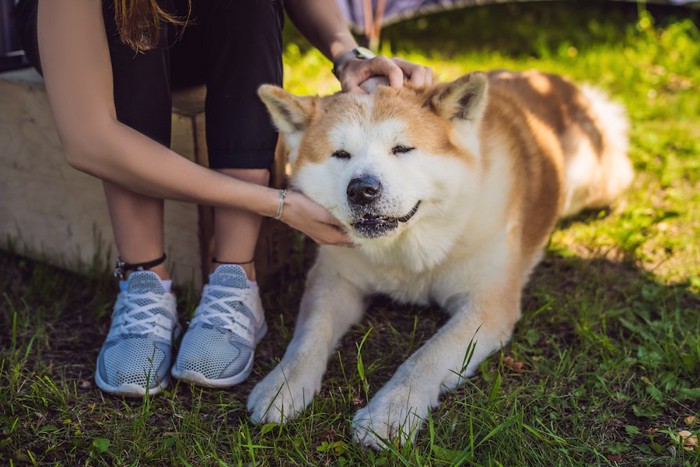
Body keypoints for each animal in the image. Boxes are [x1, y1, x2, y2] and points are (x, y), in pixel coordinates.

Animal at [247, 70, 636, 450]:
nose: (362, 190)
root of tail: (559, 81)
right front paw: (282, 385)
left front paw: (390, 412)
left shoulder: (487, 305)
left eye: (402, 149)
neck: (408, 247)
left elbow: (426, 357)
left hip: (594, 185)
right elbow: (310, 336)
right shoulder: (334, 279)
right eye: (340, 154)